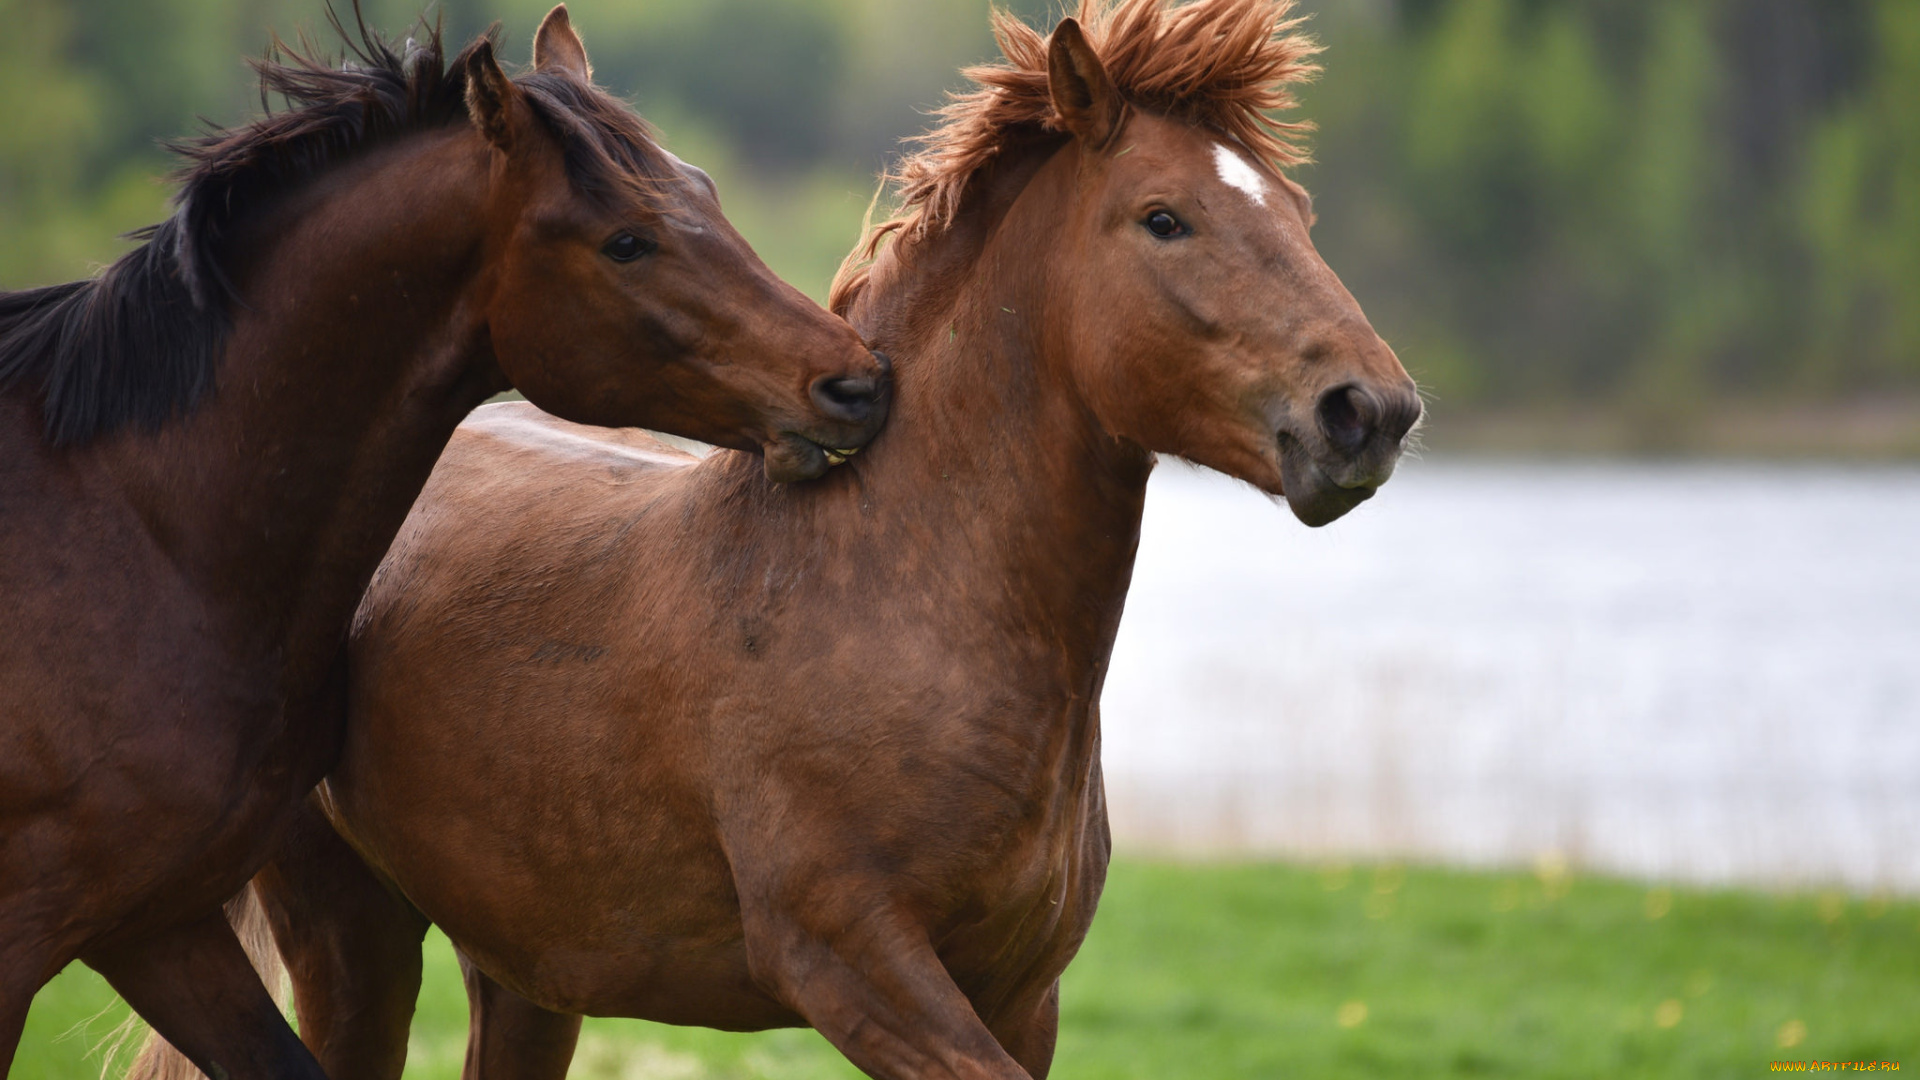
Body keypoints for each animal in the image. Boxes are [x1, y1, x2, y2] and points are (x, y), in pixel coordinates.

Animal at [0, 6, 890, 1078]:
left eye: (706, 191)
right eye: (626, 242)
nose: (857, 382)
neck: (140, 530)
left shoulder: (153, 921)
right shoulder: (30, 930)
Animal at [176, 1, 1419, 1077]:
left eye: (1299, 213)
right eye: (1165, 218)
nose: (1370, 412)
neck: (888, 597)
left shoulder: (1021, 998)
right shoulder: (854, 967)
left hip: (527, 971)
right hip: (354, 939)